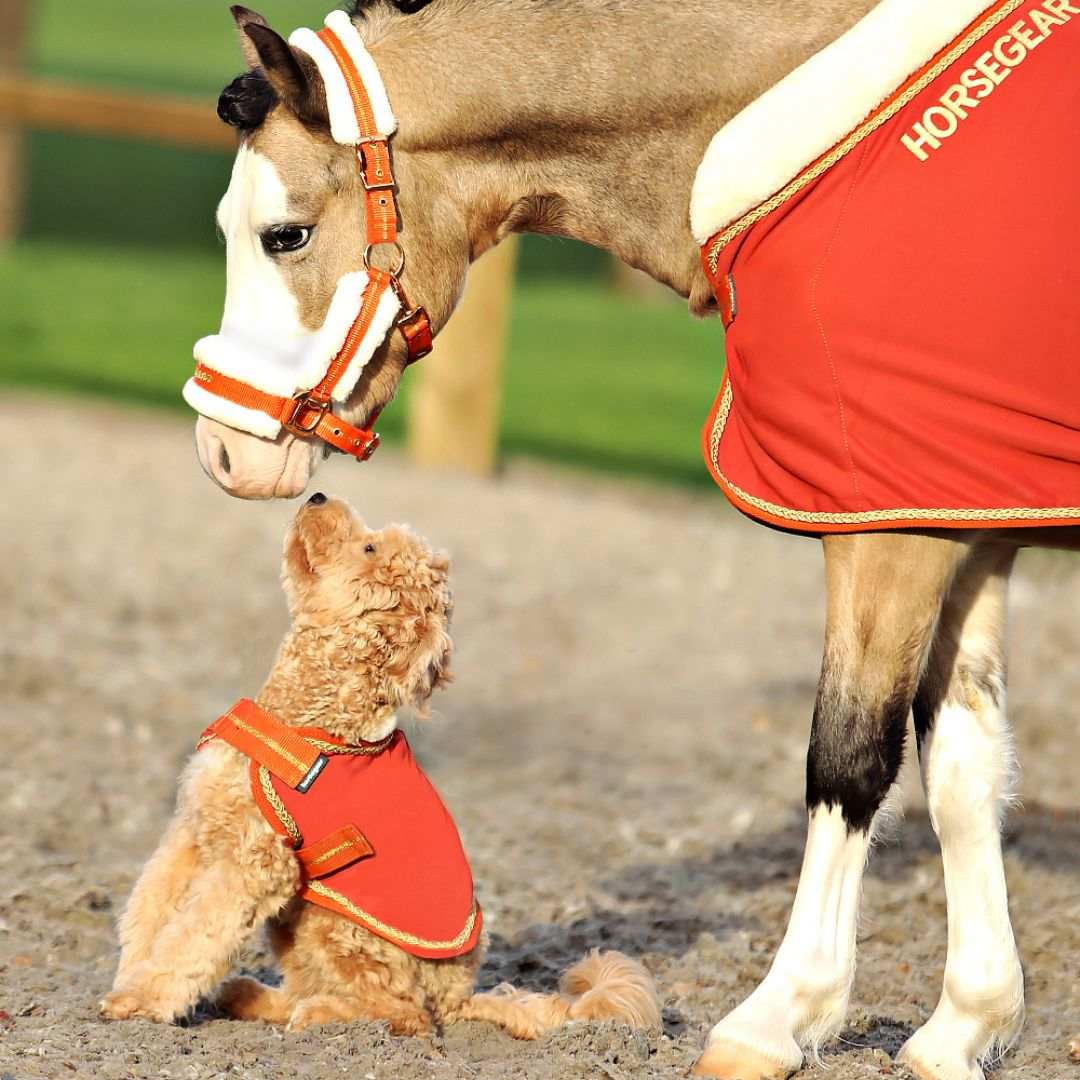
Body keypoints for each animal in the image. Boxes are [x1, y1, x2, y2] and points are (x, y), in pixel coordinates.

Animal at [101, 494, 656, 1036]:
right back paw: (251, 996)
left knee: (405, 1014)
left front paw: (138, 1001)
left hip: (339, 924)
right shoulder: (192, 835)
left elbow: (191, 940)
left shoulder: (254, 867)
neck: (311, 713)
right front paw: (127, 982)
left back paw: (319, 1016)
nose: (317, 494)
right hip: (298, 917)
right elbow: (150, 913)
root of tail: (460, 998)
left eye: (368, 548)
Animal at [181, 2, 1075, 1080]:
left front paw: (777, 1019)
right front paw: (966, 1025)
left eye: (285, 234)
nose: (224, 451)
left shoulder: (888, 529)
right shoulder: (970, 519)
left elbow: (849, 762)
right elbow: (965, 770)